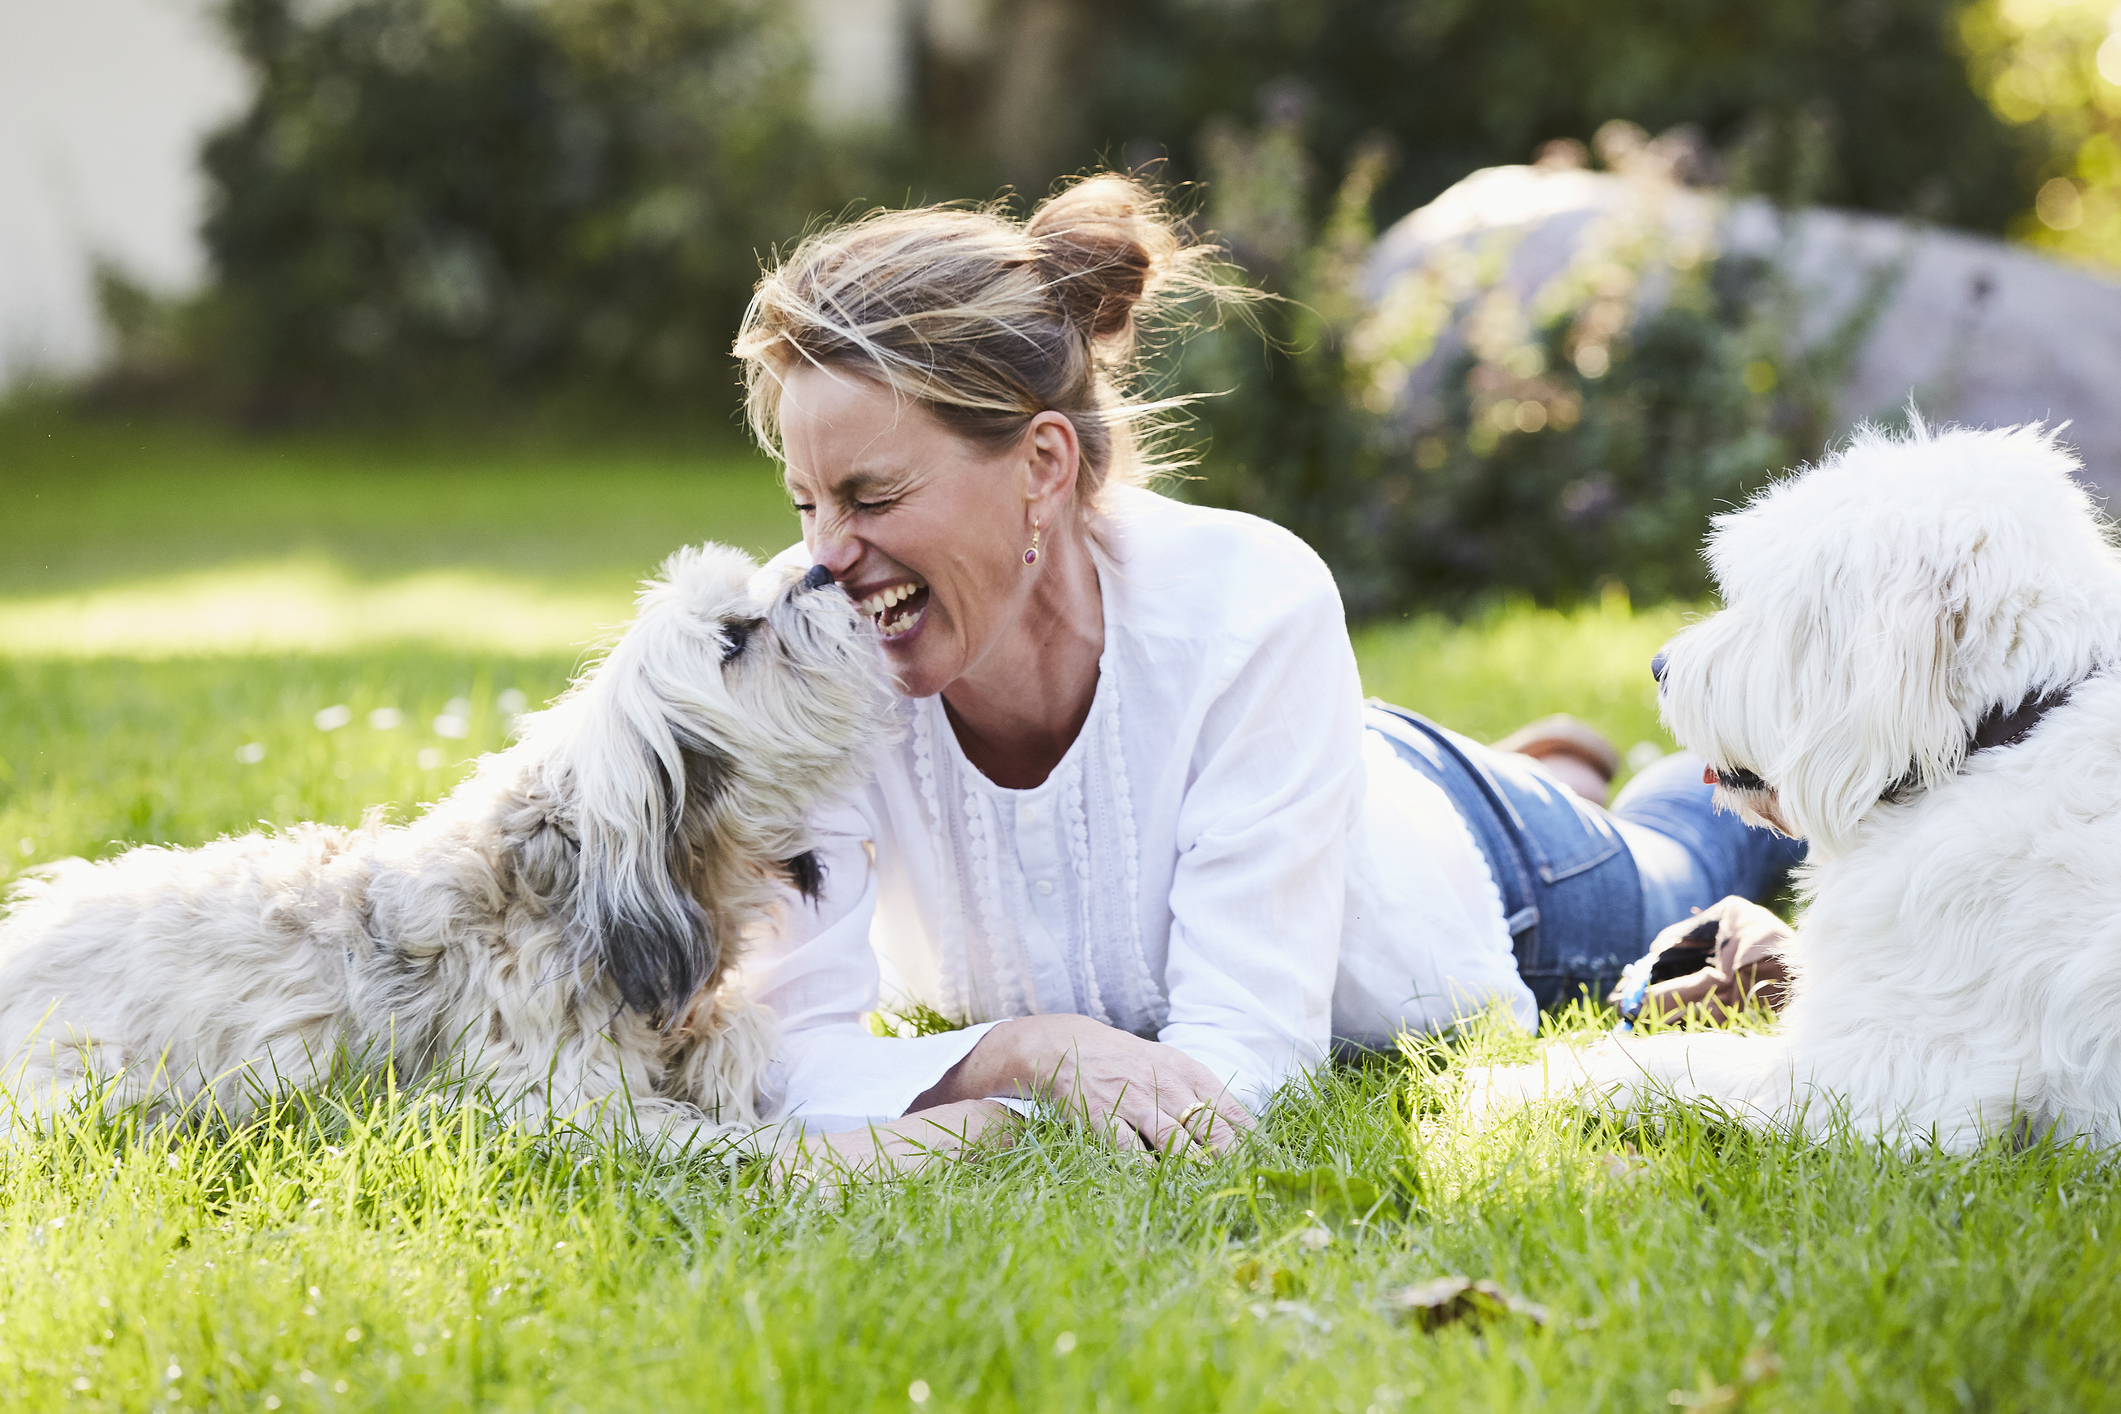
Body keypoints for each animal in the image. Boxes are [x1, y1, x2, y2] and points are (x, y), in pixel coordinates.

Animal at [1484, 426, 2121, 1153]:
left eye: (1765, 606)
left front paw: (1503, 1083)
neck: (2010, 727)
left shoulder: (1872, 1094)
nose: (1657, 668)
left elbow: (1671, 1058)